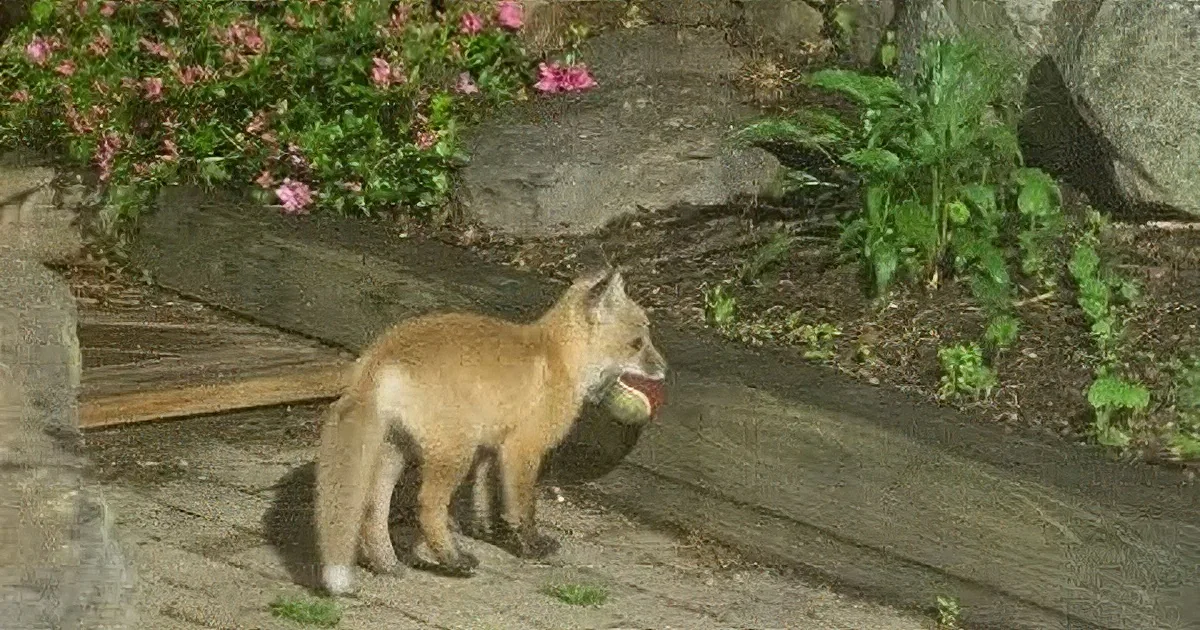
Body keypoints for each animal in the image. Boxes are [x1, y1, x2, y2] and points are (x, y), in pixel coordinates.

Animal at [313, 268, 668, 595]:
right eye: (637, 344)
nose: (665, 369)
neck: (559, 358)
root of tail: (379, 353)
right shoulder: (522, 448)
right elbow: (522, 507)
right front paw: (531, 547)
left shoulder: (490, 448)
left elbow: (485, 498)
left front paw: (488, 532)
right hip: (455, 452)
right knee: (427, 505)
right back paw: (453, 560)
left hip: (396, 451)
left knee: (373, 508)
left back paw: (387, 564)